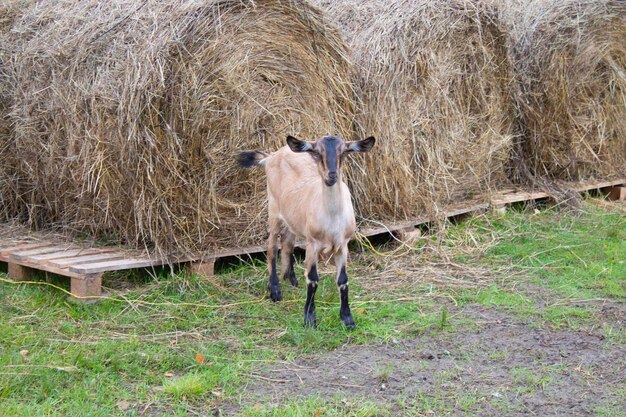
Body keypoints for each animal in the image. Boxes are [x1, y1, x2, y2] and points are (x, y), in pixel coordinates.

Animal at [238, 135, 376, 326]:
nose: (331, 176)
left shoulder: (343, 245)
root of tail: (271, 156)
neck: (332, 218)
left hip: (292, 218)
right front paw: (309, 318)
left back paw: (291, 279)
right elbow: (312, 279)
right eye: (316, 153)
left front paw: (348, 319)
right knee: (272, 247)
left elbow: (342, 280)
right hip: (273, 208)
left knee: (287, 243)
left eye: (344, 152)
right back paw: (275, 291)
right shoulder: (313, 243)